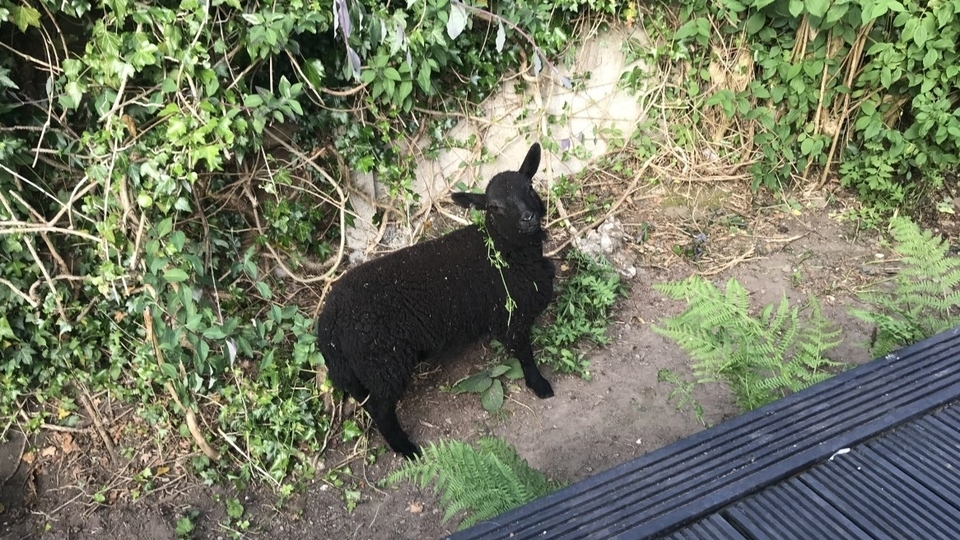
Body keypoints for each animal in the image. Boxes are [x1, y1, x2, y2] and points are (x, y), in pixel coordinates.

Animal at [316, 142, 556, 456]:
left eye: (529, 187)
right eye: (494, 207)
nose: (528, 218)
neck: (506, 250)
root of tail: (327, 324)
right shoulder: (510, 319)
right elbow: (526, 354)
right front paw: (540, 385)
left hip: (365, 371)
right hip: (383, 364)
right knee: (381, 410)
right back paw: (408, 450)